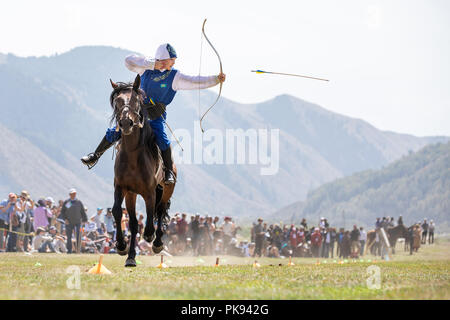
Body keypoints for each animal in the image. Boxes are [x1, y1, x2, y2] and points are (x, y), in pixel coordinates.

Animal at [110, 74, 177, 266]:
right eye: (117, 102)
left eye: (136, 101)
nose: (126, 123)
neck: (133, 155)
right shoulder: (121, 187)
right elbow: (118, 212)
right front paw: (121, 246)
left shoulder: (150, 191)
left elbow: (149, 214)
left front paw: (149, 235)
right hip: (132, 195)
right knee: (133, 223)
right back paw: (131, 257)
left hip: (167, 189)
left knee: (160, 210)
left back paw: (157, 243)